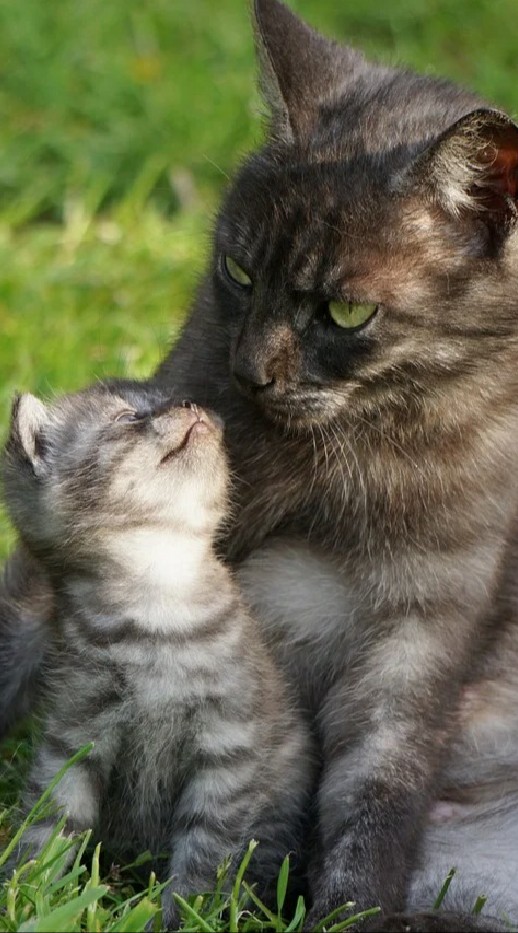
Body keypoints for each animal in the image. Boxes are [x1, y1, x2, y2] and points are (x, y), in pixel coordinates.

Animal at [2, 382, 314, 928]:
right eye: (129, 418)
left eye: (167, 399)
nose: (190, 405)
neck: (158, 606)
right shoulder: (74, 736)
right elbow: (50, 819)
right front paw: (28, 887)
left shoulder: (227, 752)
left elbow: (204, 853)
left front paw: (180, 916)